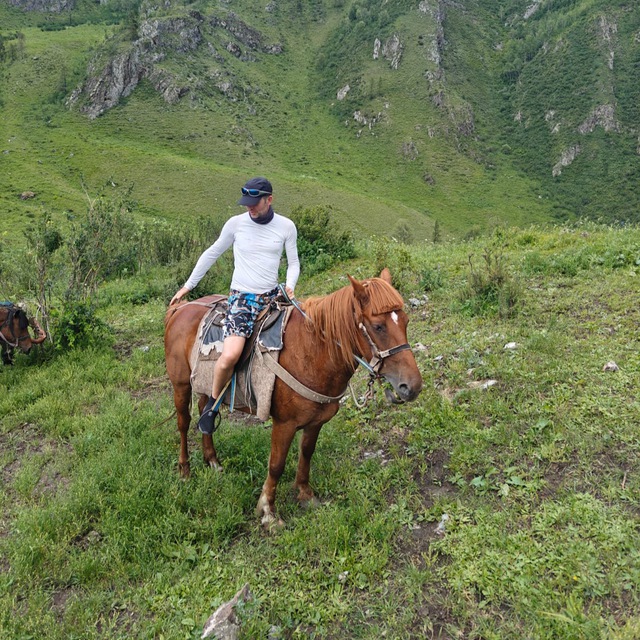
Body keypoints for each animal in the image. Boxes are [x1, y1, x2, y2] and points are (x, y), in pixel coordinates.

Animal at [164, 269, 423, 527]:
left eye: (406, 321)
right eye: (378, 327)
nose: (412, 387)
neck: (311, 353)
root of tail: (181, 308)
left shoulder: (316, 421)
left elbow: (306, 453)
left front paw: (305, 494)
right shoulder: (284, 424)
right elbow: (276, 465)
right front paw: (267, 511)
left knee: (204, 409)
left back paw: (212, 460)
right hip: (181, 385)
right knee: (184, 423)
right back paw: (185, 470)